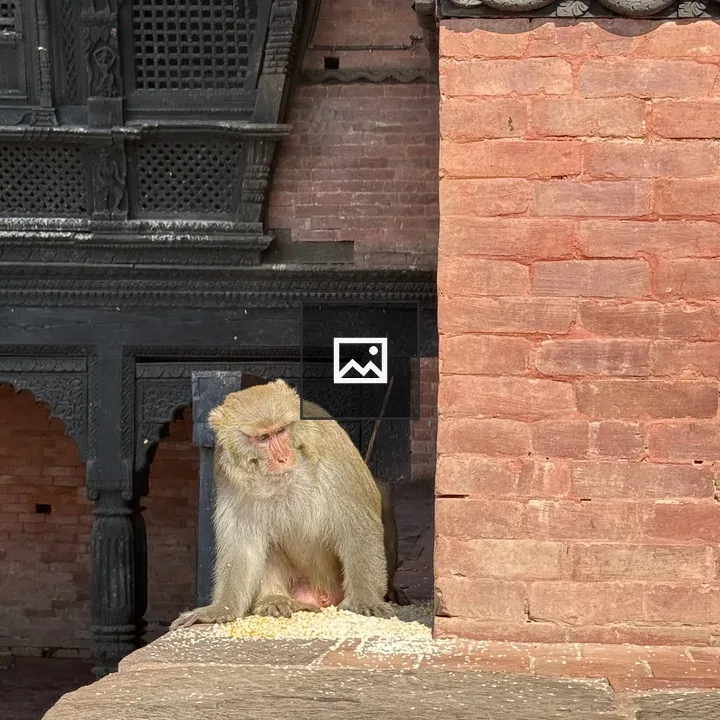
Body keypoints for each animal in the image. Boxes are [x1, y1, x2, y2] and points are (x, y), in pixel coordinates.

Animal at [170, 379, 394, 629]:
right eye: (263, 438)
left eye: (280, 431)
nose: (283, 458)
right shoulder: (228, 474)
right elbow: (242, 545)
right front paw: (221, 609)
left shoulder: (333, 454)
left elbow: (357, 526)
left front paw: (365, 600)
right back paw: (274, 598)